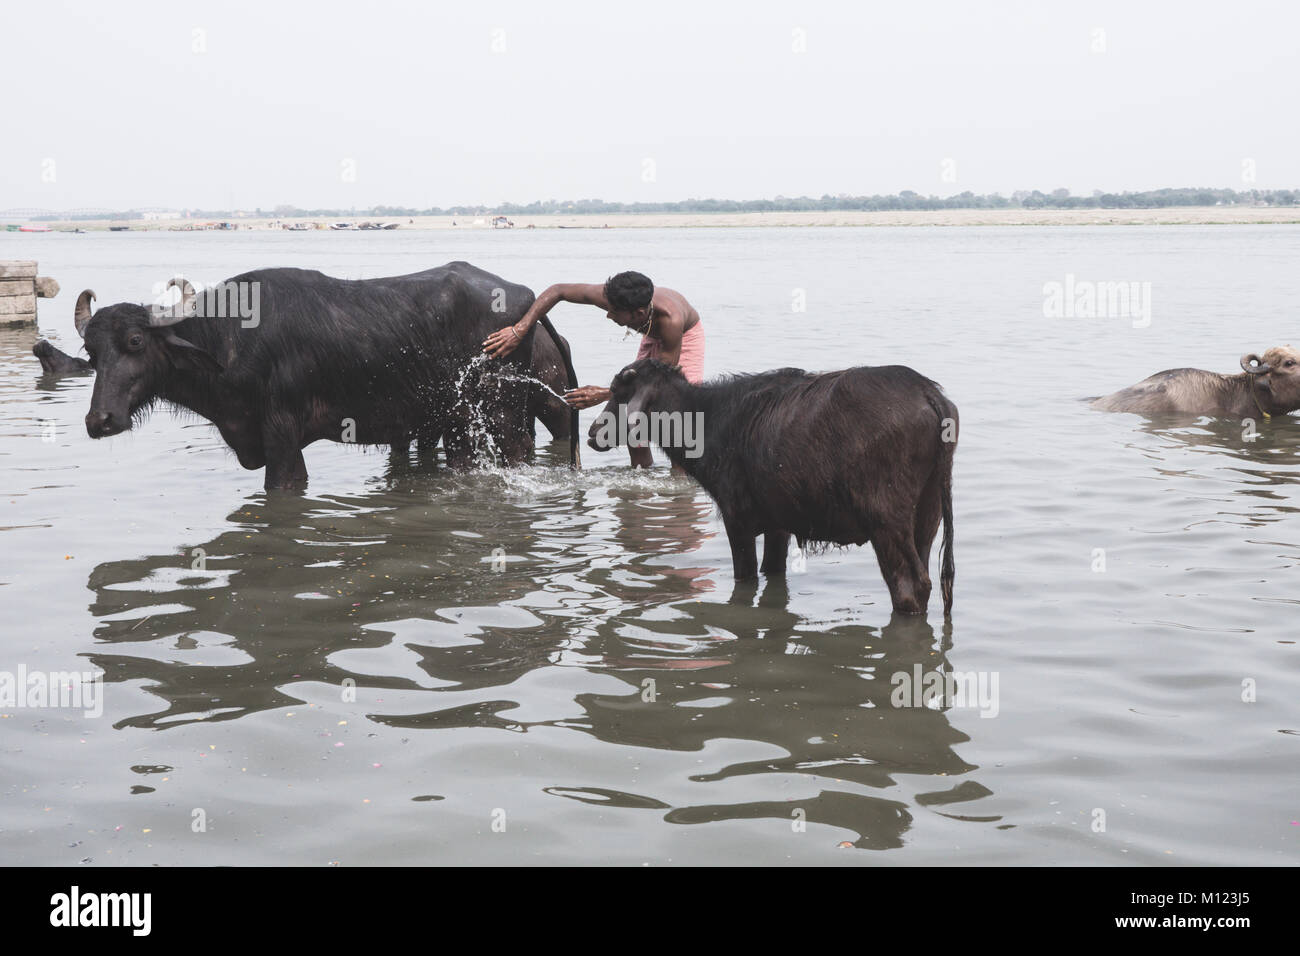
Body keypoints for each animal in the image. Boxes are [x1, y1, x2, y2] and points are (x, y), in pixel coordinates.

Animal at [69, 260, 574, 489]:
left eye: (136, 342)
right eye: (91, 352)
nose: (100, 421)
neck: (228, 341)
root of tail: (527, 300)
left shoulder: (282, 437)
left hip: (503, 414)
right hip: (457, 423)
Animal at [590, 361, 956, 621]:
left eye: (619, 393)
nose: (593, 433)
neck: (708, 420)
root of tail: (928, 393)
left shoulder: (736, 520)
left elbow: (746, 577)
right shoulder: (779, 524)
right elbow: (773, 571)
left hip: (886, 520)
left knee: (909, 585)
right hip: (928, 515)